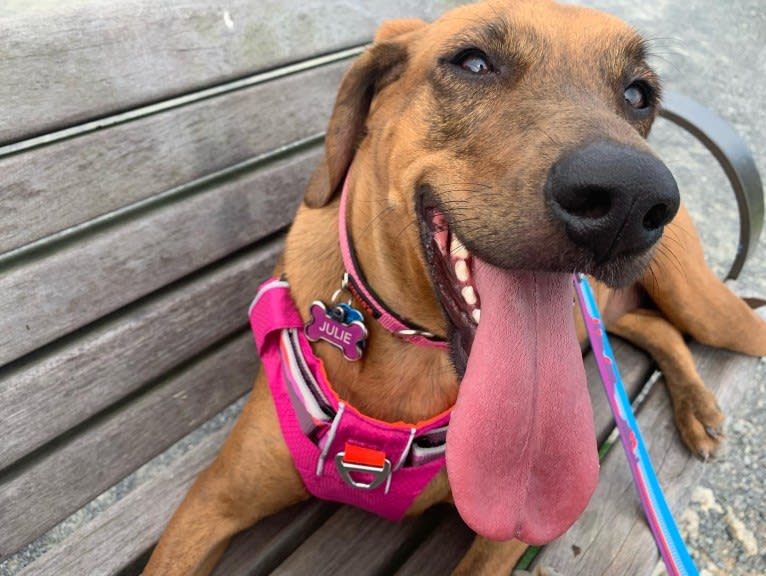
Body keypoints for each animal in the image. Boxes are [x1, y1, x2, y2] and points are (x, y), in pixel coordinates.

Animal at [146, 2, 766, 572]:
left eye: (638, 94)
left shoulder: (508, 530)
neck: (411, 356)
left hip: (706, 308)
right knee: (652, 324)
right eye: (473, 62)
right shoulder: (211, 503)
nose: (632, 198)